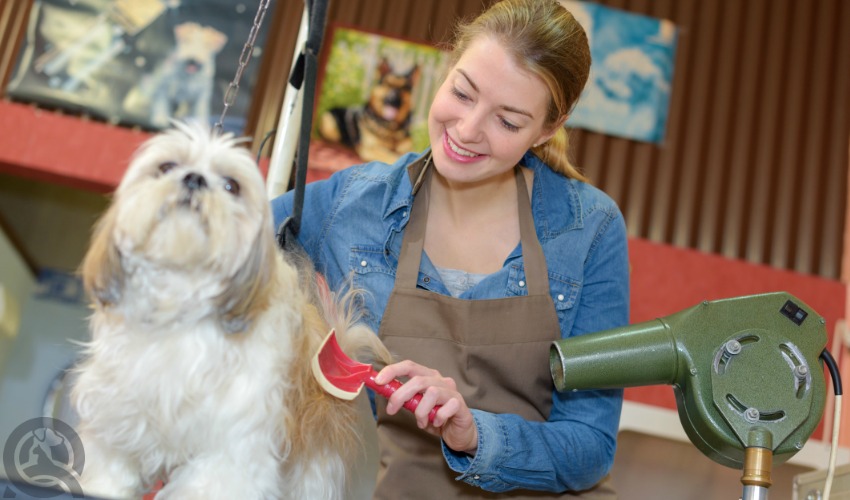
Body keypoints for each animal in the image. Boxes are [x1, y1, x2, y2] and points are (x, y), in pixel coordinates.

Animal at [71, 122, 390, 500]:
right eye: (166, 167)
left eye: (231, 186)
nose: (194, 179)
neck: (181, 301)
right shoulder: (120, 409)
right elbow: (110, 468)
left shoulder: (232, 446)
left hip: (312, 465)